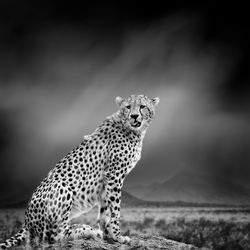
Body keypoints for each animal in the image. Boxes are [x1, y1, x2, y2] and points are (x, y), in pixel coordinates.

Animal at [0, 94, 159, 248]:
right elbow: (115, 209)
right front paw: (117, 236)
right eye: (128, 107)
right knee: (54, 236)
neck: (132, 129)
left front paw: (108, 234)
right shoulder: (114, 175)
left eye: (142, 106)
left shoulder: (107, 180)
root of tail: (26, 223)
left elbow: (105, 210)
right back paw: (86, 229)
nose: (134, 116)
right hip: (61, 186)